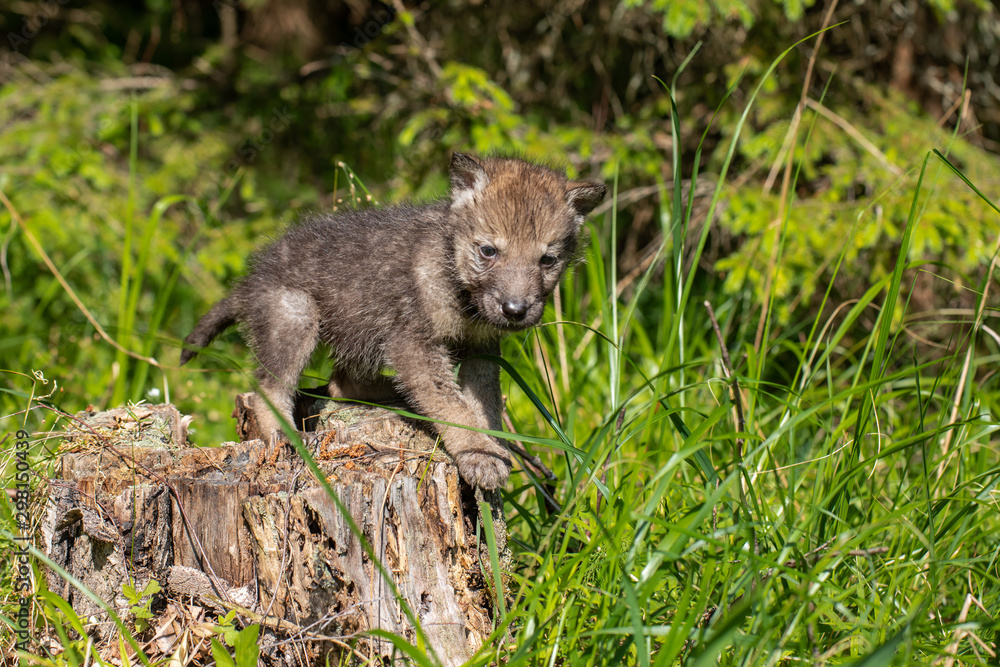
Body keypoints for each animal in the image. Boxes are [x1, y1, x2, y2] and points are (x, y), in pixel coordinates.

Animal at [181, 153, 605, 489]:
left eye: (547, 260)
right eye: (488, 251)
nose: (515, 310)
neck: (457, 282)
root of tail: (250, 279)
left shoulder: (480, 347)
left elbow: (482, 404)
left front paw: (493, 445)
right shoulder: (412, 342)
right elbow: (452, 405)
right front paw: (478, 454)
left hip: (360, 329)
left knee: (340, 384)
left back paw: (395, 395)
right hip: (298, 317)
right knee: (268, 388)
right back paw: (287, 438)